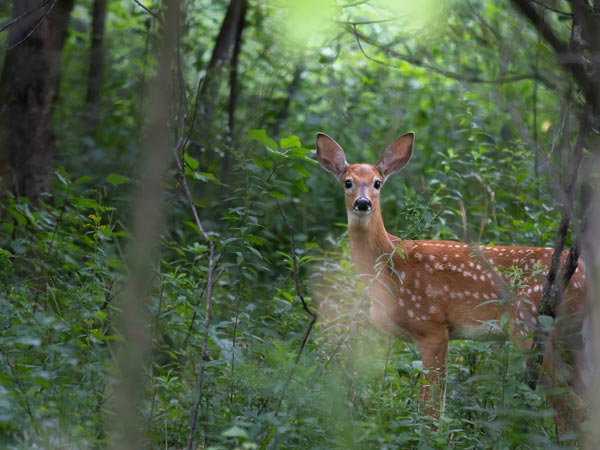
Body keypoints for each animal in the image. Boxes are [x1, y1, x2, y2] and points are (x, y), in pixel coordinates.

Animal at [316, 131, 588, 432]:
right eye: (348, 182)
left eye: (377, 182)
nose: (363, 203)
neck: (388, 266)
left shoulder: (431, 324)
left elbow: (431, 408)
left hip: (531, 326)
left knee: (572, 406)